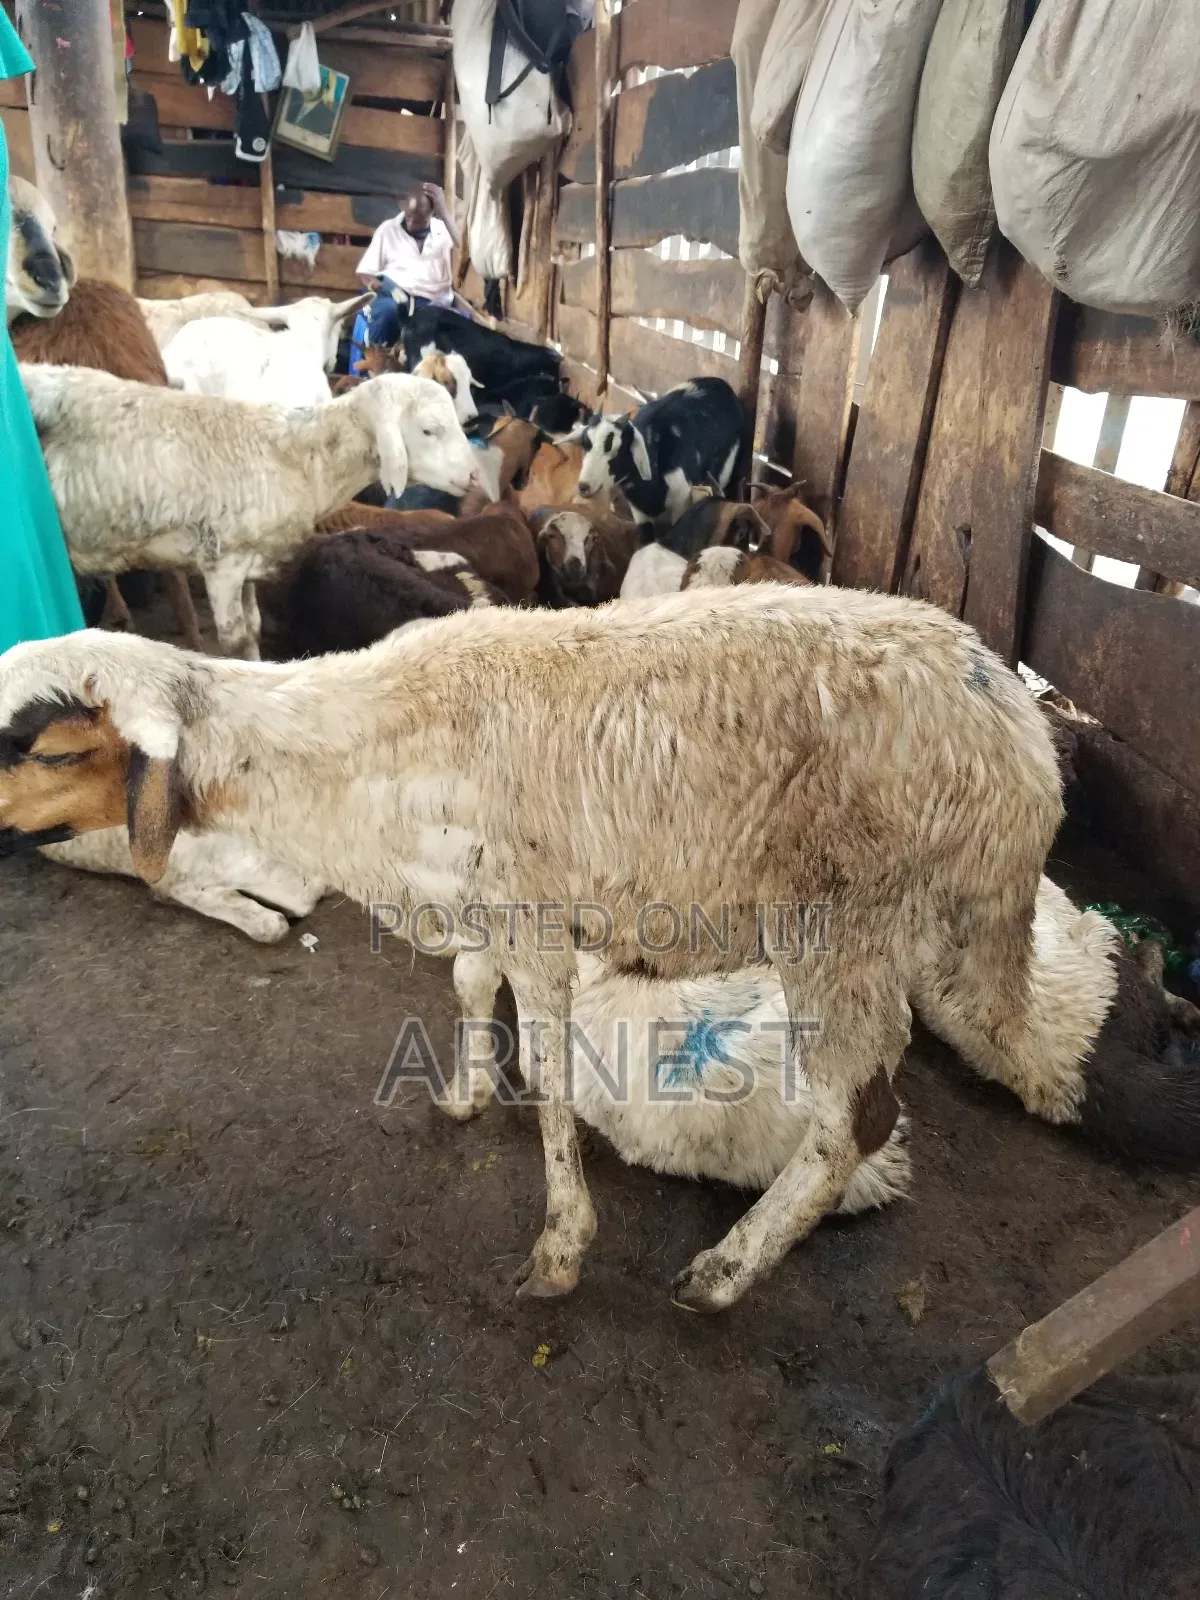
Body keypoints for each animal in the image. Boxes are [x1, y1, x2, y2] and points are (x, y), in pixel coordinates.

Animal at [4, 598, 1196, 1308]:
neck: (352, 755)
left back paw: (726, 1272)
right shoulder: (486, 905)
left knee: (855, 1117)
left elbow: (555, 1075)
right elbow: (467, 984)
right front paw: (465, 1094)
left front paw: (562, 1247)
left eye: (51, 748)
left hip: (843, 922)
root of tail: (1026, 748)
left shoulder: (537, 917)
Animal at [21, 364, 479, 658]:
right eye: (428, 430)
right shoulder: (223, 561)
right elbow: (235, 640)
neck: (299, 459)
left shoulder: (249, 561)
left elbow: (255, 627)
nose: (475, 477)